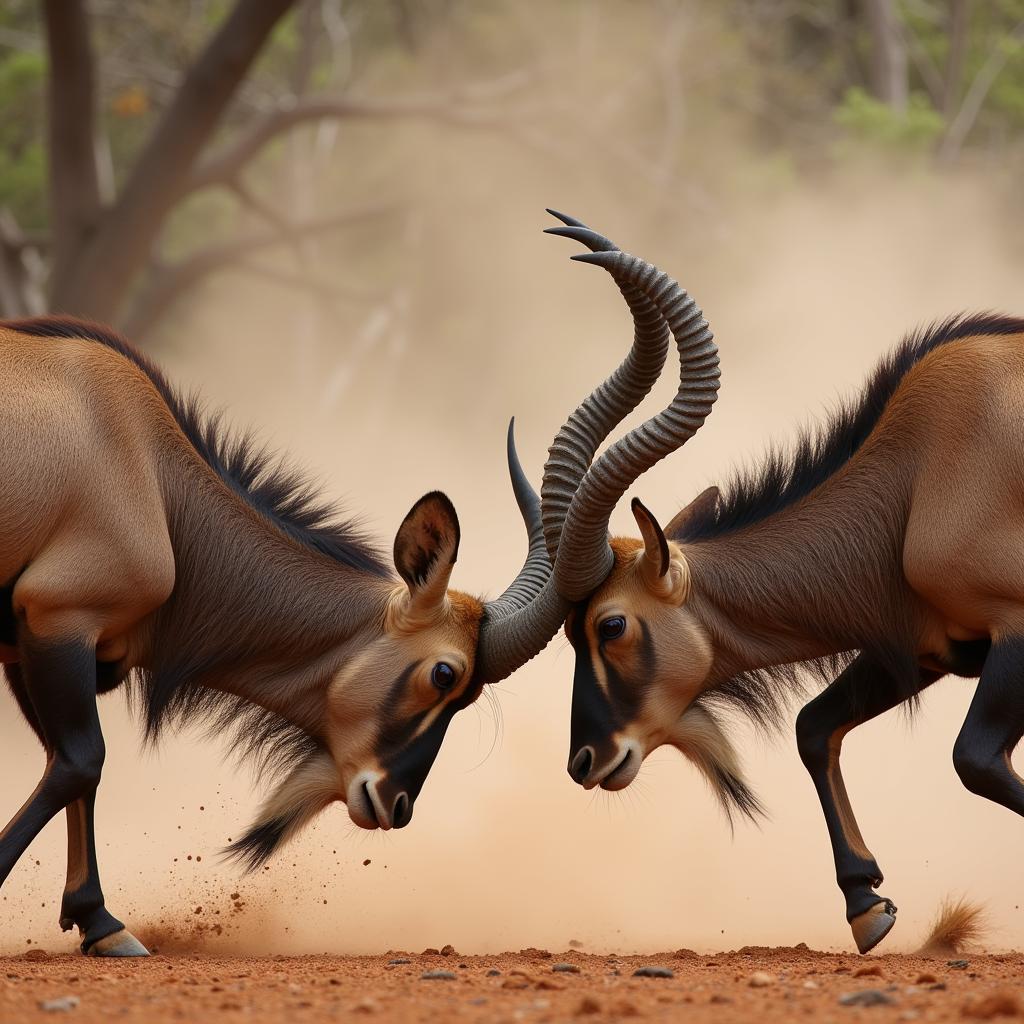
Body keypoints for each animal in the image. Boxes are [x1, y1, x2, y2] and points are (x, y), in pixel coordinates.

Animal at [548, 211, 1024, 954]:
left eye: (611, 623)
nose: (586, 761)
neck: (922, 470)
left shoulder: (1015, 626)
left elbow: (975, 758)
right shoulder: (926, 650)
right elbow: (814, 726)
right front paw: (866, 904)